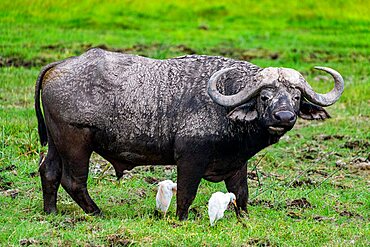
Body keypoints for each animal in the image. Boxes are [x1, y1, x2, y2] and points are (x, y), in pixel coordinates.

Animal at [35, 48, 344, 220]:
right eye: (265, 96)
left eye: (295, 96)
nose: (284, 118)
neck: (225, 104)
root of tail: (58, 66)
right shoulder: (190, 159)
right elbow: (186, 193)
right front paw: (181, 219)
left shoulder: (237, 162)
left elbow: (241, 193)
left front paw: (244, 218)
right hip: (76, 143)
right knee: (73, 180)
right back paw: (97, 212)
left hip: (56, 142)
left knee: (48, 171)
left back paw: (51, 211)